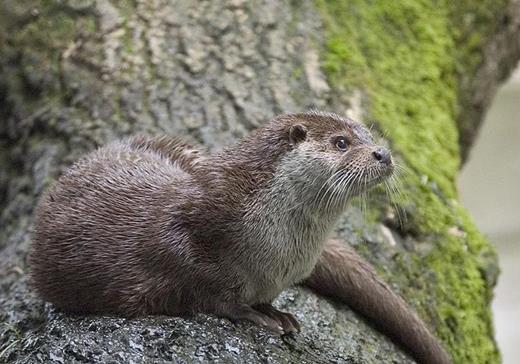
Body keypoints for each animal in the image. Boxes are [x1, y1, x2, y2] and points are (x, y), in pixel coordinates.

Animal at [28, 111, 450, 364]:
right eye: (341, 142)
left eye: (370, 134)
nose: (383, 154)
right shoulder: (185, 235)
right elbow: (204, 288)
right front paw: (255, 315)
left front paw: (276, 311)